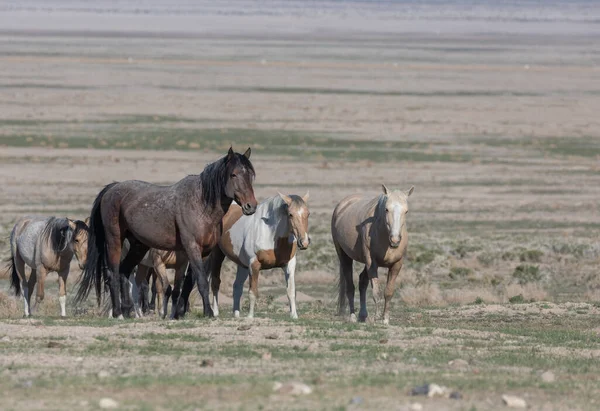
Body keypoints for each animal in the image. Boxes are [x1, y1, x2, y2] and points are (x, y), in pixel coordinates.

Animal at [74, 148, 256, 318]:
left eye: (251, 175)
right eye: (233, 174)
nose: (251, 206)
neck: (201, 205)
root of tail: (112, 188)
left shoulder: (204, 252)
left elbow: (188, 283)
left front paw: (178, 313)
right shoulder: (192, 247)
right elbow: (201, 281)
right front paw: (208, 312)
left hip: (138, 246)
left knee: (124, 272)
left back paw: (126, 312)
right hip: (115, 241)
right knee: (113, 274)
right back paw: (118, 313)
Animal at [330, 186, 414, 326]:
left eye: (406, 211)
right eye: (386, 209)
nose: (395, 240)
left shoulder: (396, 265)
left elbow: (388, 292)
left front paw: (385, 319)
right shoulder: (372, 263)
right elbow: (376, 292)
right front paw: (376, 317)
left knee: (362, 282)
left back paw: (363, 315)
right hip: (344, 256)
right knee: (350, 286)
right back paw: (353, 316)